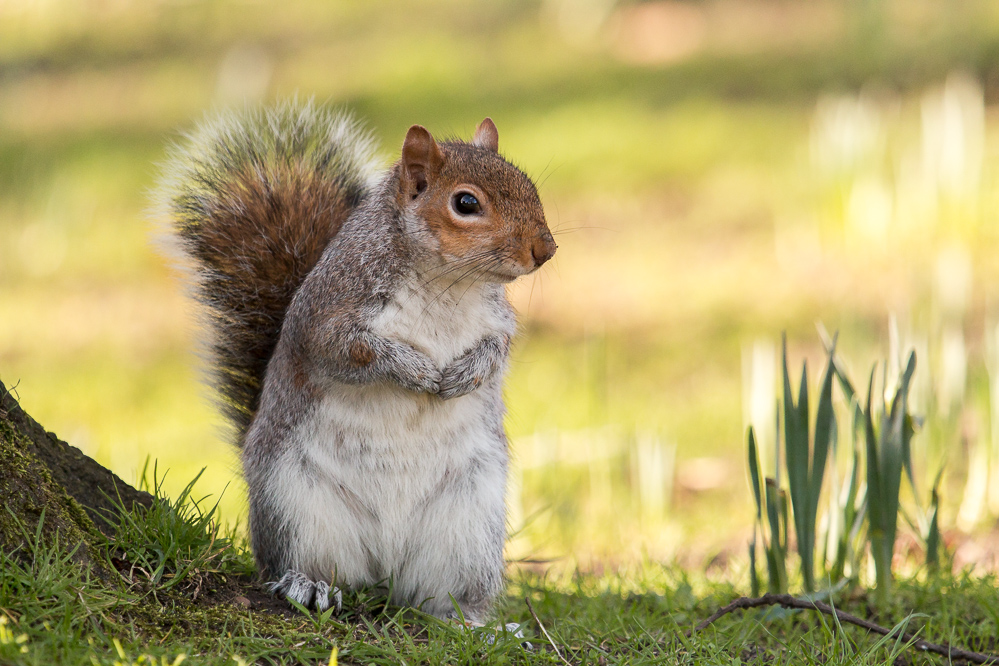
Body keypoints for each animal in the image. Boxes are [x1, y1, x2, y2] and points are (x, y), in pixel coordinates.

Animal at [160, 100, 560, 624]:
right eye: (466, 204)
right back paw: (309, 585)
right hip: (295, 504)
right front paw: (416, 370)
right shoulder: (330, 313)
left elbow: (498, 351)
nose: (545, 249)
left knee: (438, 593)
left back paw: (469, 620)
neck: (445, 283)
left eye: (529, 184)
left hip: (469, 520)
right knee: (308, 565)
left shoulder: (498, 321)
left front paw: (464, 374)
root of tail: (384, 566)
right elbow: (355, 351)